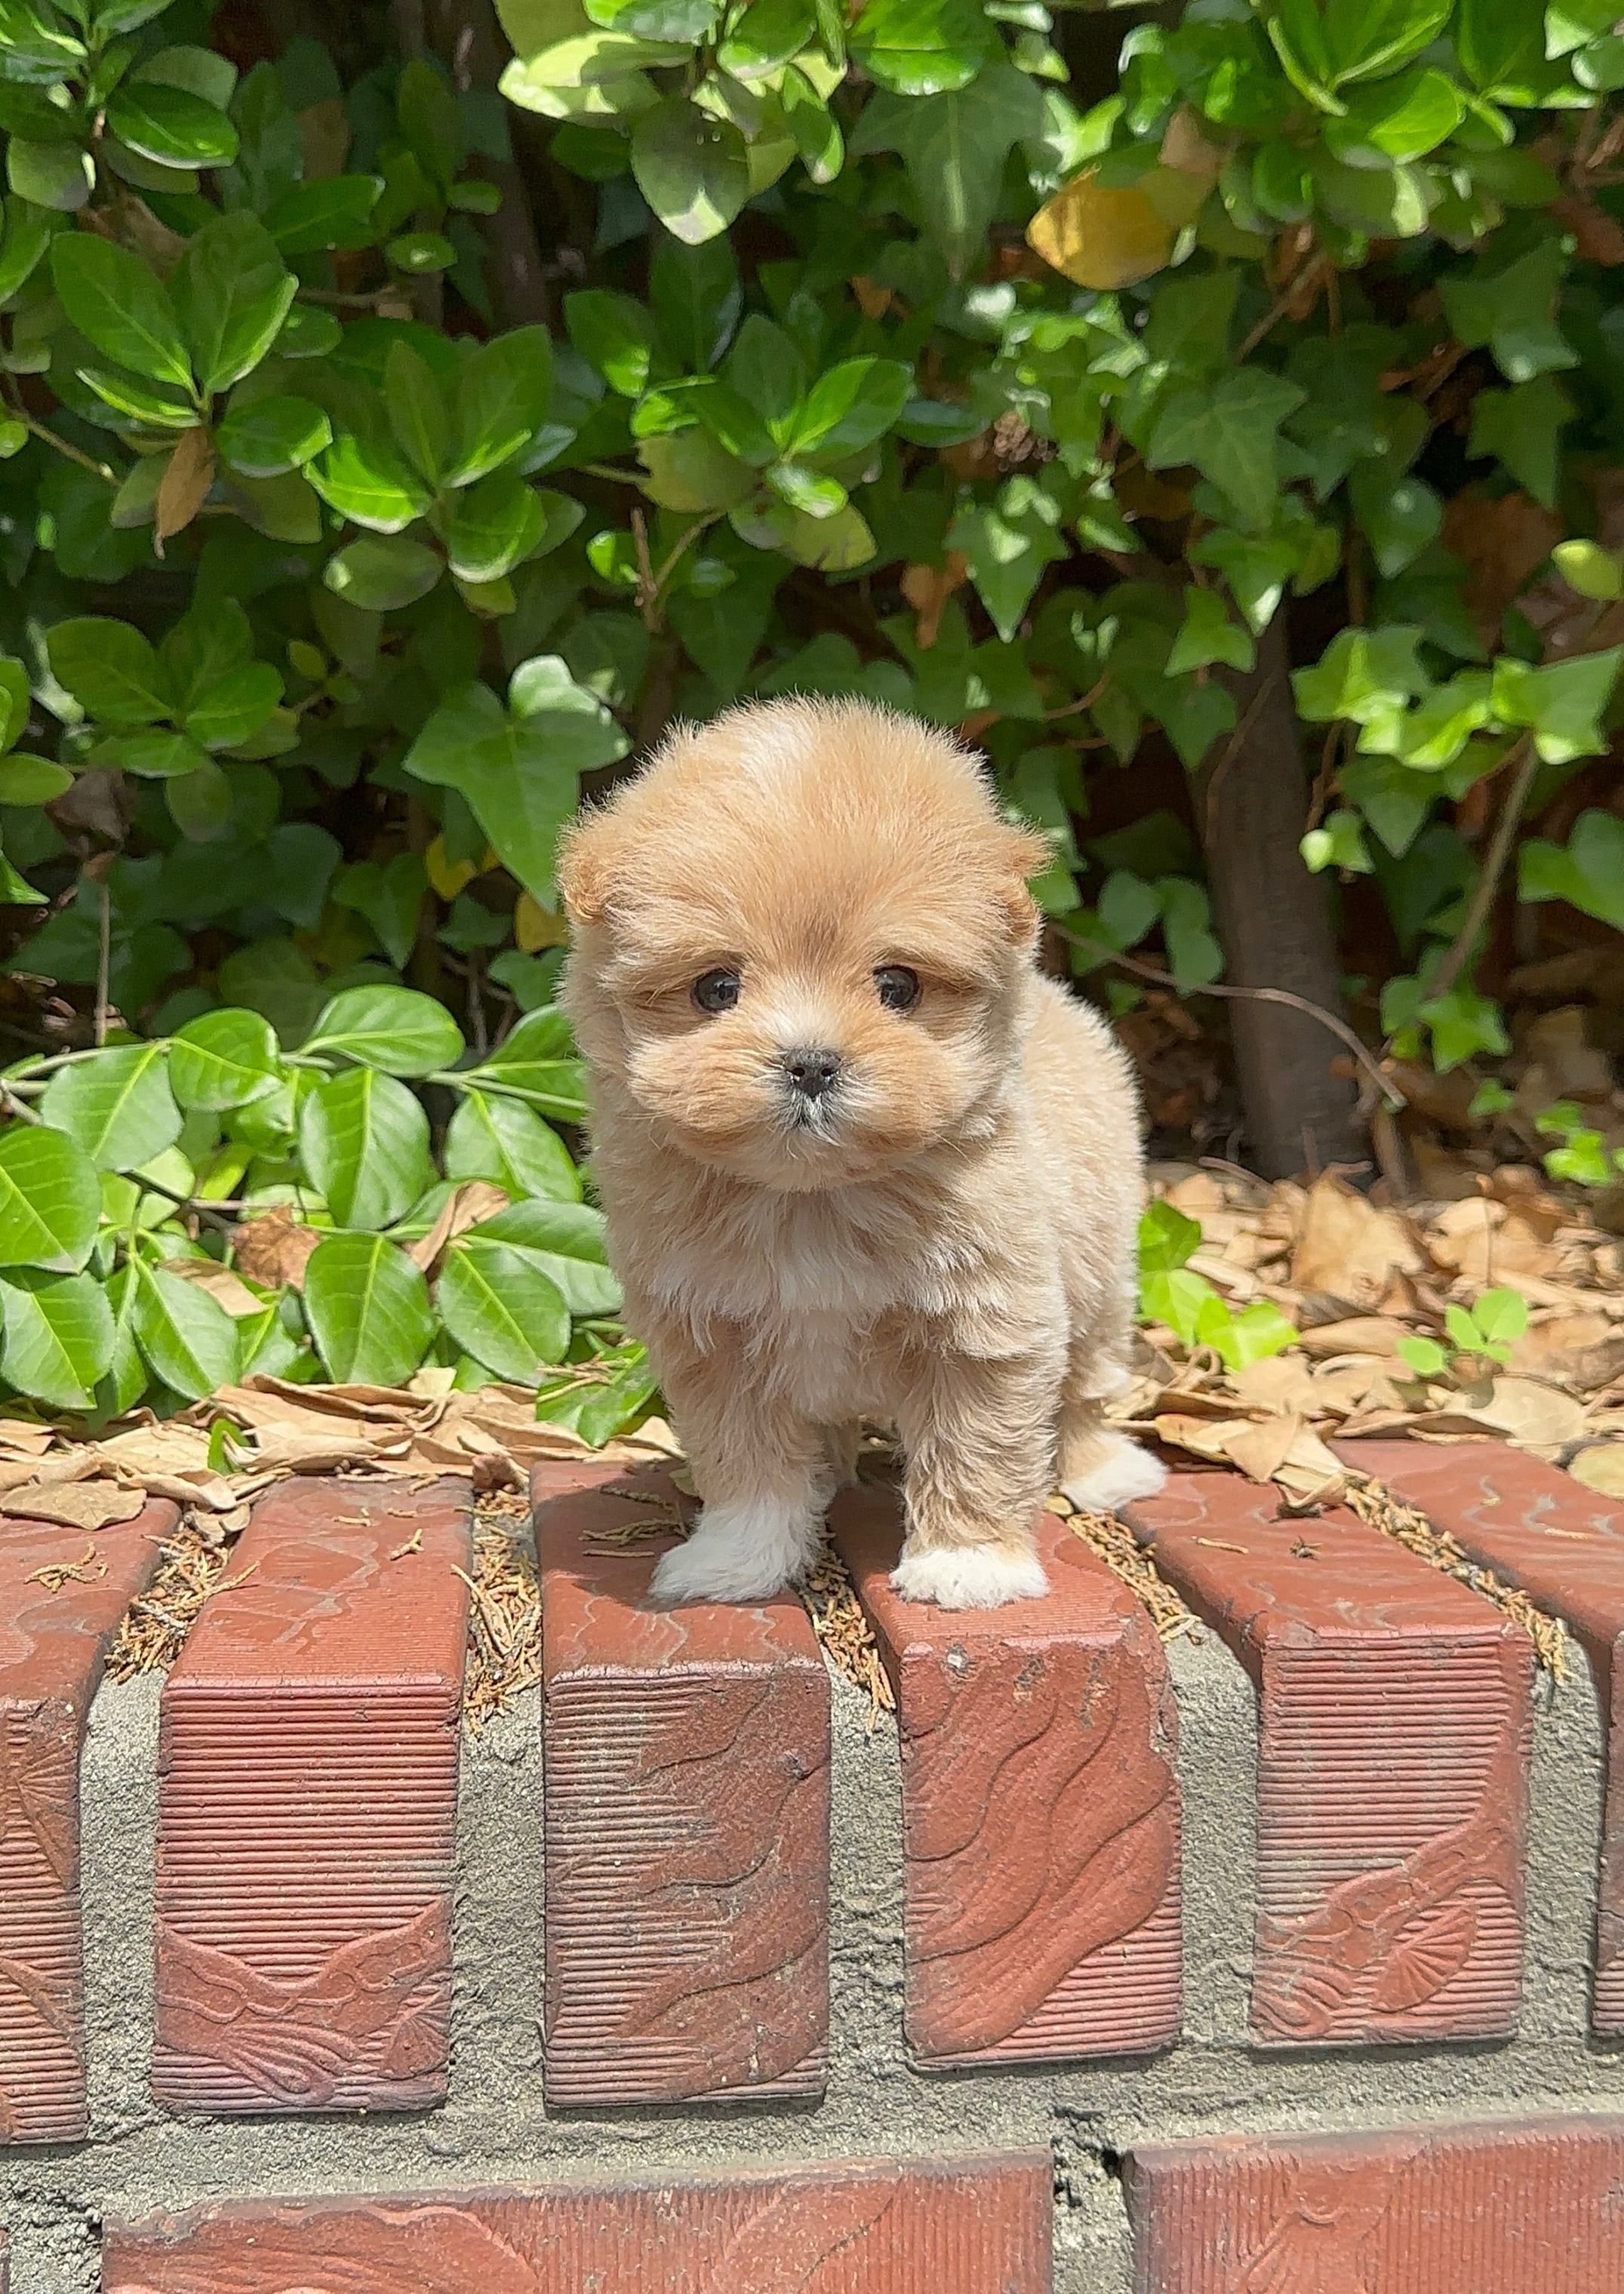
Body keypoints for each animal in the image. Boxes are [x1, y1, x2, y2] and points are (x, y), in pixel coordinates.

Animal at [557, 688, 1165, 1605]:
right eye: (716, 988)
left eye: (898, 986)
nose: (810, 1062)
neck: (812, 1199)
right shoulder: (714, 1344)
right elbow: (746, 1464)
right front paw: (740, 1556)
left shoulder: (986, 1328)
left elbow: (978, 1449)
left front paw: (966, 1565)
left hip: (1099, 1281)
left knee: (1085, 1388)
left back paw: (1103, 1471)